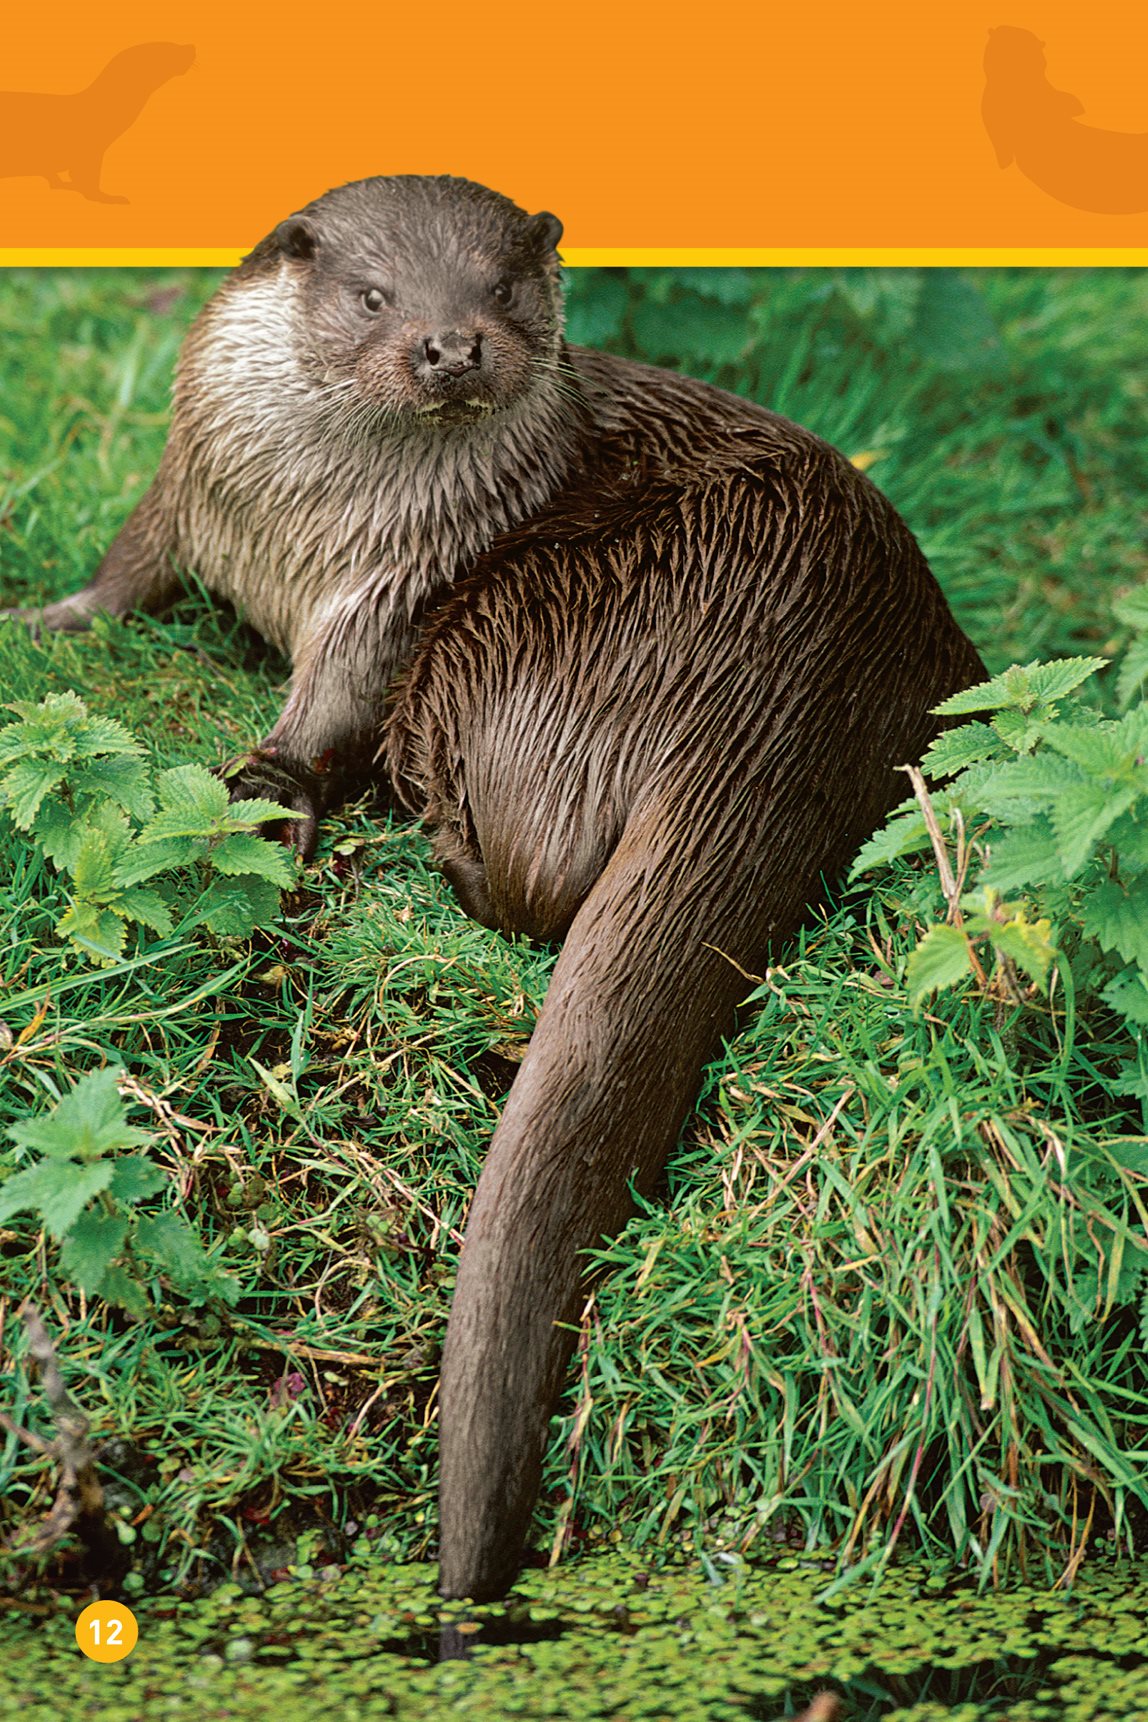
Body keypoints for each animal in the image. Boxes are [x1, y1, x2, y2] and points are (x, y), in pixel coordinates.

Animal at [4, 174, 984, 1598]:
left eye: (505, 288)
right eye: (373, 297)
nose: (450, 344)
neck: (300, 518)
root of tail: (782, 684)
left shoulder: (392, 590)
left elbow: (324, 709)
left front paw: (265, 787)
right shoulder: (190, 482)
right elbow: (125, 570)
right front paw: (41, 618)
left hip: (510, 633)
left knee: (531, 880)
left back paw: (428, 833)